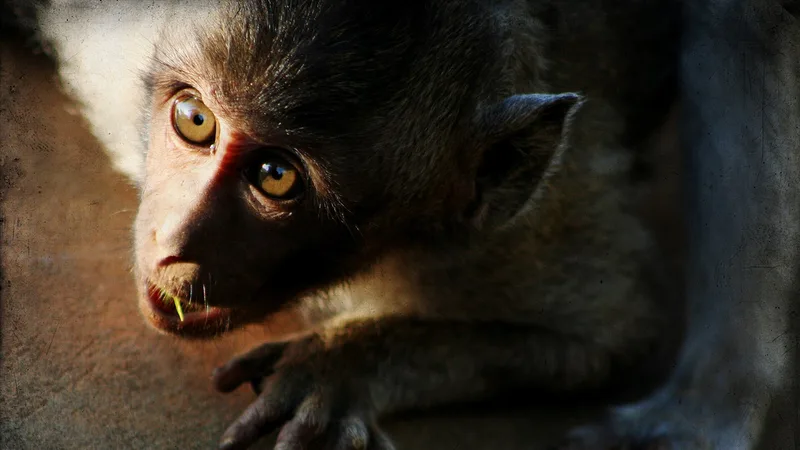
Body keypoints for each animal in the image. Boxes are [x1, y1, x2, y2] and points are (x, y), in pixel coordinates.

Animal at [30, 0, 693, 449]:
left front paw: (342, 361)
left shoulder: (512, 236)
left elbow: (609, 343)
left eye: (276, 176)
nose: (171, 242)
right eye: (195, 120)